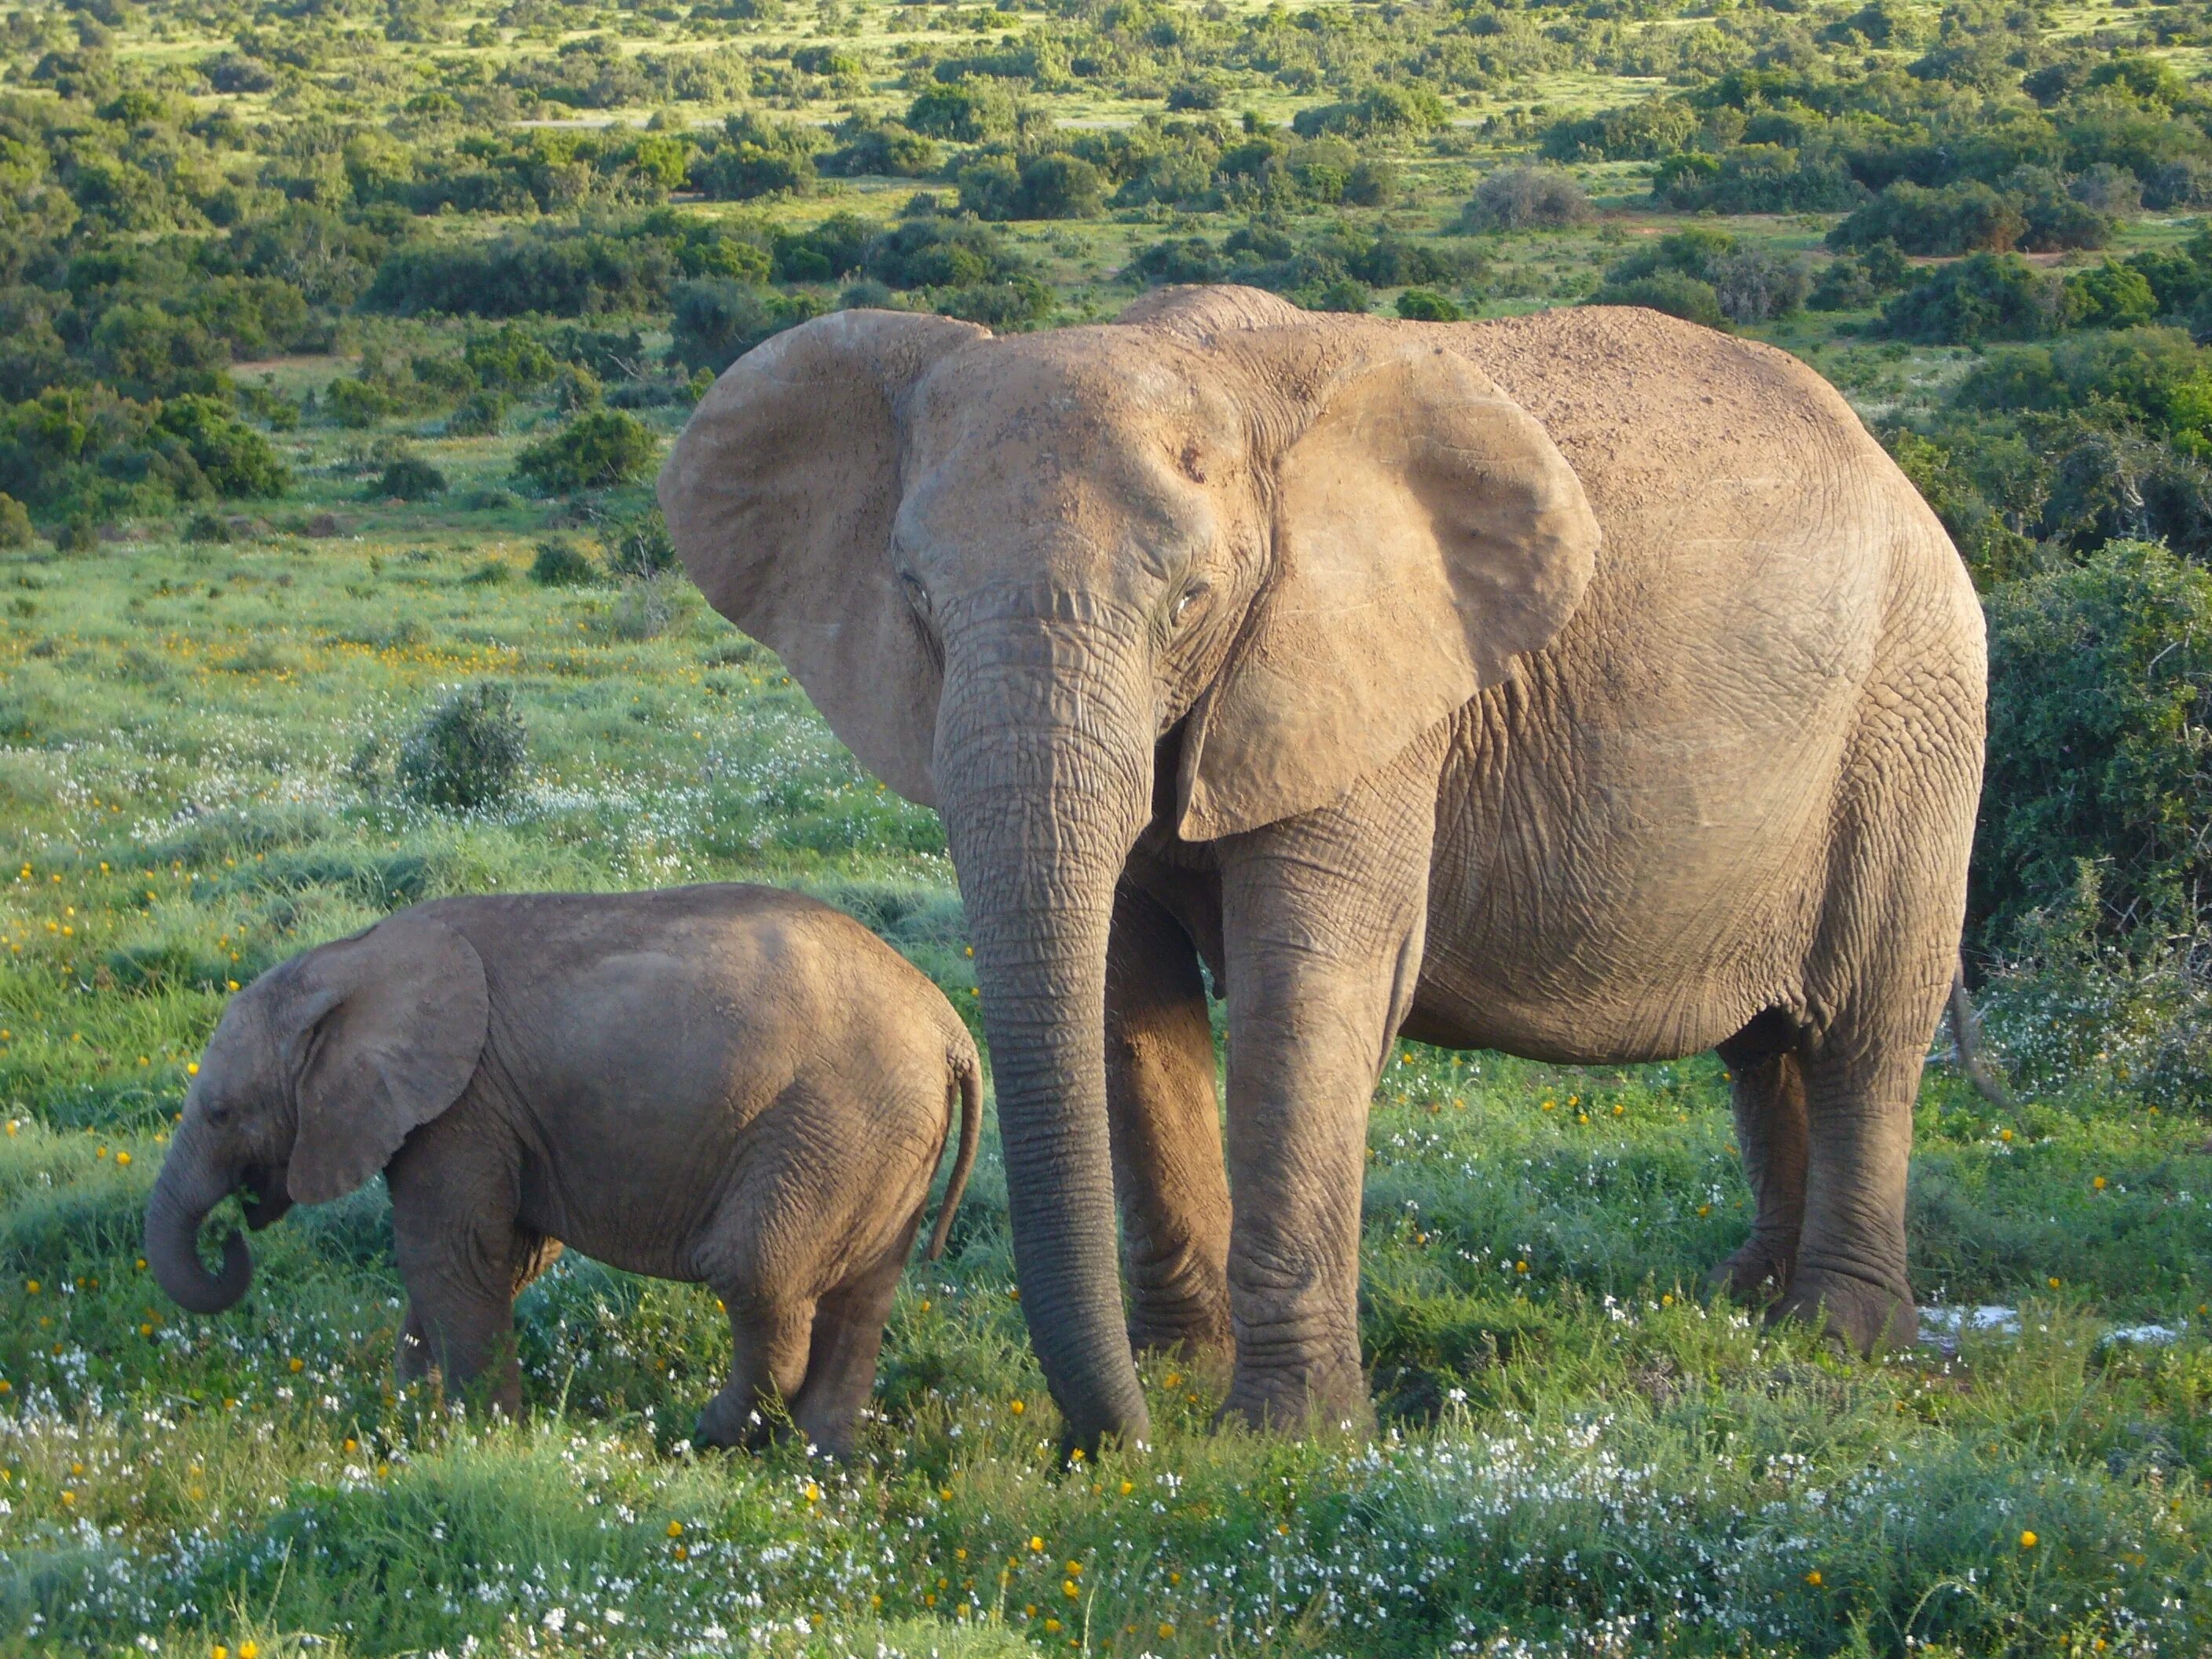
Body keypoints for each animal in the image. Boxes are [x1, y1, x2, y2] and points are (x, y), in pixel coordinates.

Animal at [151, 884, 982, 1451]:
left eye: (219, 1113)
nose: (233, 1233)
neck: (349, 959)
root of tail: (949, 1028)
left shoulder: (461, 1107)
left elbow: (449, 1253)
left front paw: (480, 1438)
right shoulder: (493, 1114)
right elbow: (502, 1258)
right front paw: (412, 1412)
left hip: (832, 1124)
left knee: (757, 1274)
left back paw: (702, 1436)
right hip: (886, 1140)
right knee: (863, 1296)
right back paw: (819, 1461)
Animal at [654, 289, 1990, 1451]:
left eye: (1191, 599)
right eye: (916, 599)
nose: (1113, 1446)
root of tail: (1894, 469)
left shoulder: (1368, 685)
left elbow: (1311, 994)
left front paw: (1281, 1436)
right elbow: (1127, 1004)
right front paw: (1184, 1373)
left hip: (1916, 711)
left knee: (1868, 1027)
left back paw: (1840, 1334)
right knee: (1766, 1047)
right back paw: (1747, 1302)